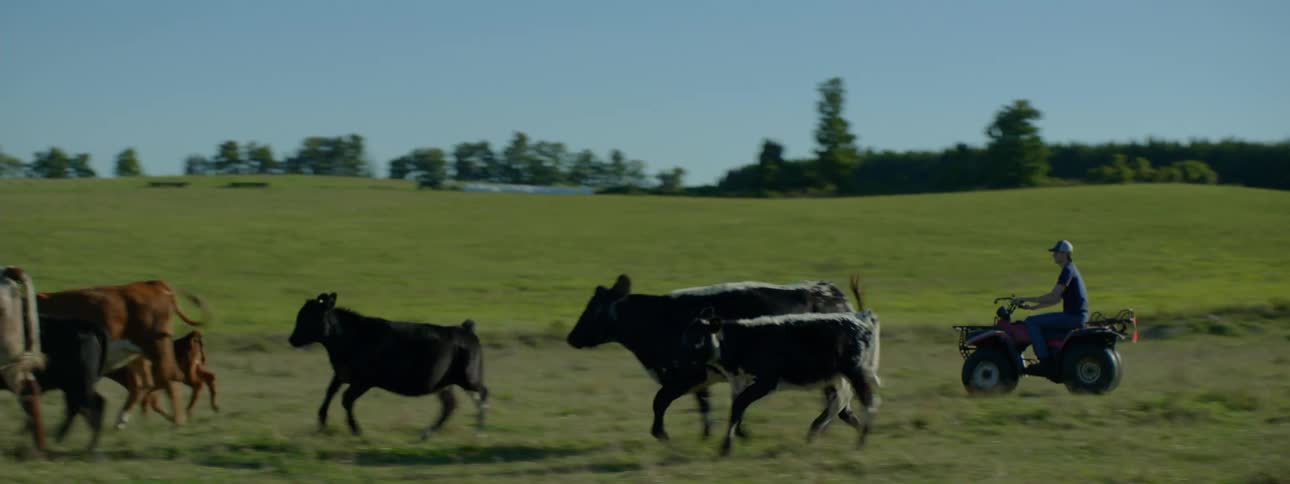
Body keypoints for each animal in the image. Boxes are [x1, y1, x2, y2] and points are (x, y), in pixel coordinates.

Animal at [35, 279, 212, 426]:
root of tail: (154, 284)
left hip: (156, 346)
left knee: (169, 377)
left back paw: (177, 420)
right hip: (142, 352)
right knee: (149, 383)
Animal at [288, 292, 489, 439]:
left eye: (310, 317)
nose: (292, 339)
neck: (349, 337)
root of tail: (465, 328)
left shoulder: (364, 380)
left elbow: (346, 399)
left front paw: (356, 429)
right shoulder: (341, 373)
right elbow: (329, 393)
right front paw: (321, 423)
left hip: (469, 376)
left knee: (482, 393)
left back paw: (479, 432)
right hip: (443, 383)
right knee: (450, 404)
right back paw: (426, 434)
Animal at [565, 273, 862, 441]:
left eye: (592, 309)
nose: (571, 337)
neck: (659, 319)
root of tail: (830, 292)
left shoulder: (685, 374)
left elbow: (660, 401)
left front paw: (662, 434)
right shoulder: (699, 378)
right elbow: (704, 405)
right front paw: (712, 434)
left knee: (838, 400)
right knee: (838, 401)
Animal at [674, 285, 881, 457]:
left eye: (698, 340)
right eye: (684, 336)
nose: (678, 361)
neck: (742, 340)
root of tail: (862, 319)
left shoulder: (766, 381)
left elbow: (738, 406)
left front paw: (726, 447)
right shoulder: (739, 382)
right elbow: (736, 410)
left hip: (856, 372)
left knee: (868, 402)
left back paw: (860, 440)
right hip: (837, 377)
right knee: (840, 404)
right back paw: (820, 433)